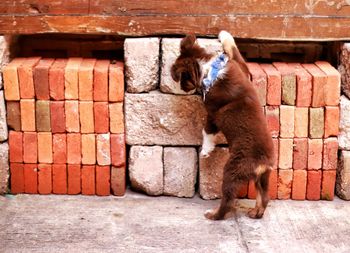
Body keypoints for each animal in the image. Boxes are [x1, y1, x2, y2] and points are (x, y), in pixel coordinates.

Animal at [171, 30, 274, 218]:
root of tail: (262, 163)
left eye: (181, 80)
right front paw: (224, 34)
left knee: (228, 200)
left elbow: (206, 132)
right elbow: (234, 48)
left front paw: (205, 151)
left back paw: (213, 215)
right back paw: (256, 212)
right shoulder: (242, 68)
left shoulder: (213, 114)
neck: (210, 69)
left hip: (233, 170)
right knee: (264, 197)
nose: (182, 88)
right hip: (262, 177)